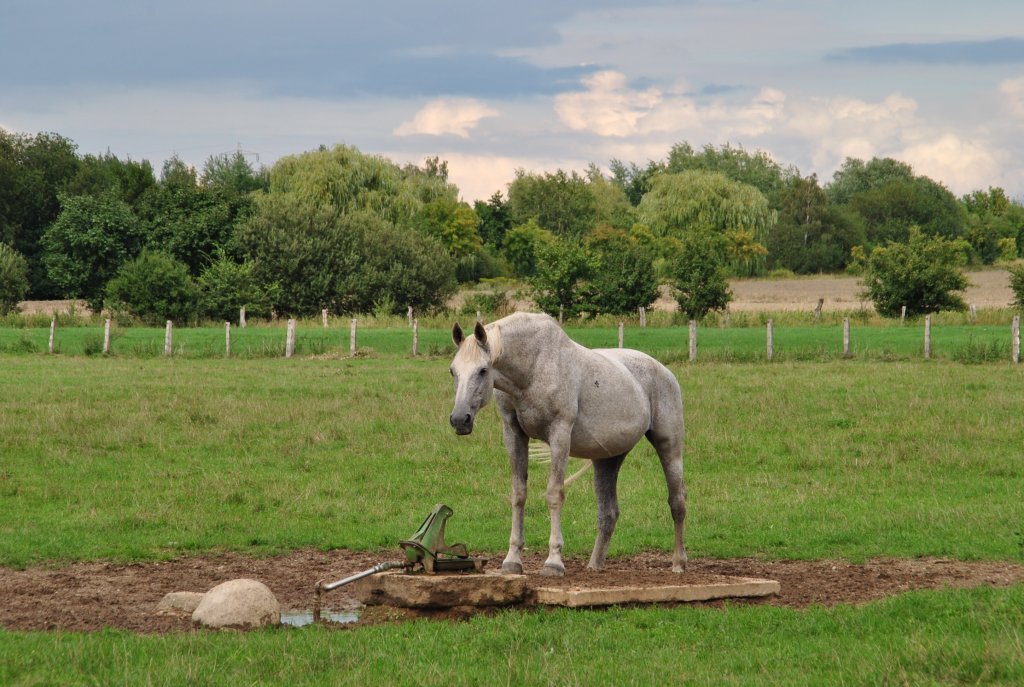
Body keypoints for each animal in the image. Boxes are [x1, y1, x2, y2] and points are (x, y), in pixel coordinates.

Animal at [448, 315, 688, 577]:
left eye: (482, 370)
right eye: (453, 371)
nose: (459, 419)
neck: (533, 368)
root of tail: (664, 371)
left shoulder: (559, 435)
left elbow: (555, 494)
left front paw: (553, 562)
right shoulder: (513, 433)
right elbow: (518, 494)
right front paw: (512, 560)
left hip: (669, 446)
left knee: (677, 502)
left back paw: (678, 562)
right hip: (607, 459)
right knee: (608, 513)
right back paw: (594, 566)